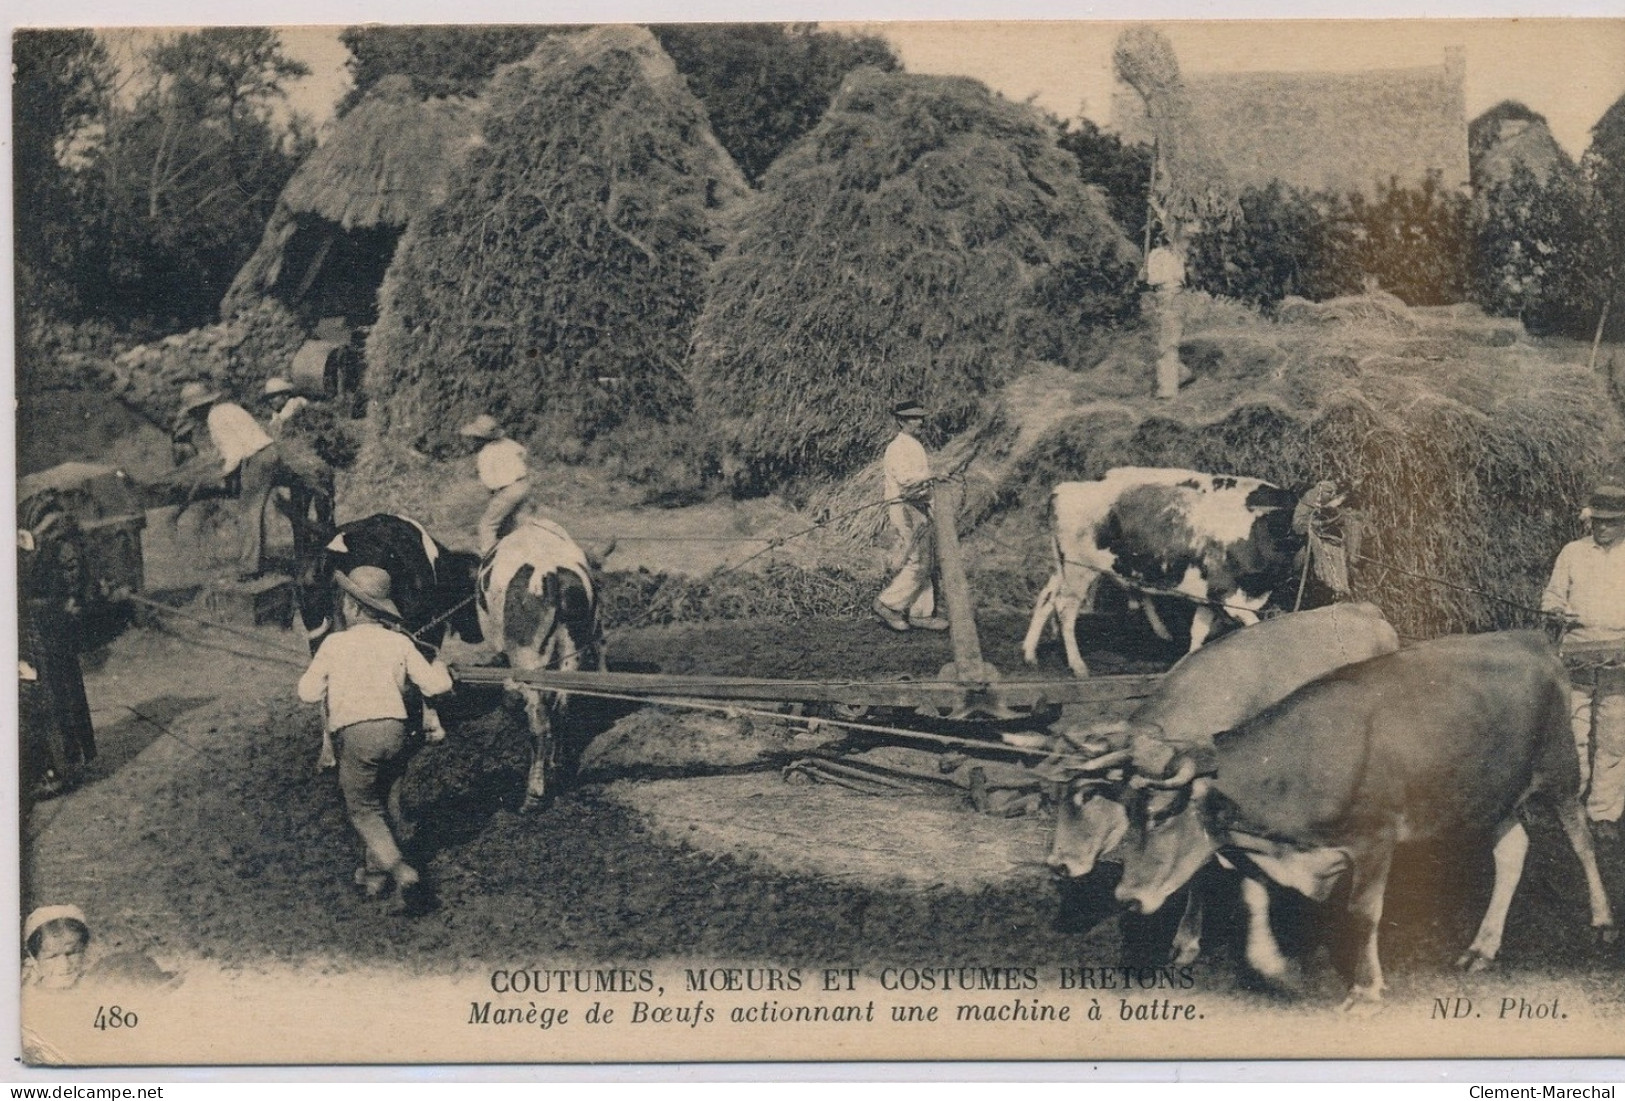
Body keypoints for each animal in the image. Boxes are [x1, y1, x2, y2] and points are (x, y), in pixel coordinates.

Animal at [481, 516, 611, 811]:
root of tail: (550, 574)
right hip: (572, 652)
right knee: (563, 707)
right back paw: (556, 765)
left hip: (529, 657)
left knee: (539, 720)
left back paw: (533, 794)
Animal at [1020, 464, 1300, 678]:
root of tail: (1065, 489)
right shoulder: (1227, 594)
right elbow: (1253, 628)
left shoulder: (1210, 596)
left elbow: (1198, 633)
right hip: (1080, 570)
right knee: (1065, 609)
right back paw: (1078, 666)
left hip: (1067, 568)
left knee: (1048, 597)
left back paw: (1030, 654)